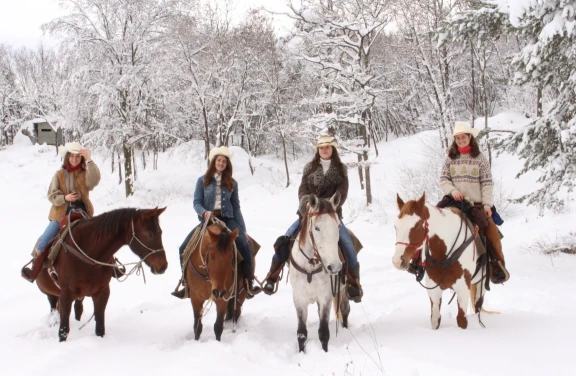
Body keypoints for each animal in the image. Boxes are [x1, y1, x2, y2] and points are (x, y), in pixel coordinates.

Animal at [35, 207, 168, 342]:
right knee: (53, 306)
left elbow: (99, 327)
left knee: (78, 308)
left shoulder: (102, 293)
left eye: (160, 232)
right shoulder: (66, 295)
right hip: (51, 293)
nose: (163, 266)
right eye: (150, 234)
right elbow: (63, 330)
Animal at [290, 194, 348, 352]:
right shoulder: (299, 299)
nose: (335, 266)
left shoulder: (325, 297)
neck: (310, 267)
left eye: (338, 226)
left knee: (345, 311)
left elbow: (323, 332)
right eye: (317, 228)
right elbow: (301, 333)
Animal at [392, 194, 486, 328]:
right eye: (396, 227)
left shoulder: (463, 287)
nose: (397, 261)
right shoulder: (433, 288)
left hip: (481, 282)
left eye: (416, 226)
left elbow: (461, 320)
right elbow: (435, 319)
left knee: (478, 304)